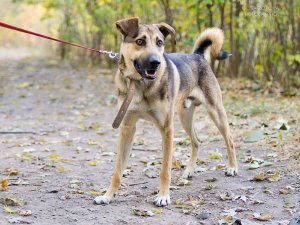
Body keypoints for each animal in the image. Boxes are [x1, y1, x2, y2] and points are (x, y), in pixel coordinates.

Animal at [92, 18, 238, 207]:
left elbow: (165, 170)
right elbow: (117, 170)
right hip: (185, 117)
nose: (156, 62)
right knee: (196, 141)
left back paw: (232, 167)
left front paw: (163, 196)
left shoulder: (167, 129)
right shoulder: (127, 128)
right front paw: (108, 195)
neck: (140, 85)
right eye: (140, 41)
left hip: (216, 112)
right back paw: (189, 171)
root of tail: (197, 55)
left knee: (229, 139)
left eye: (160, 42)